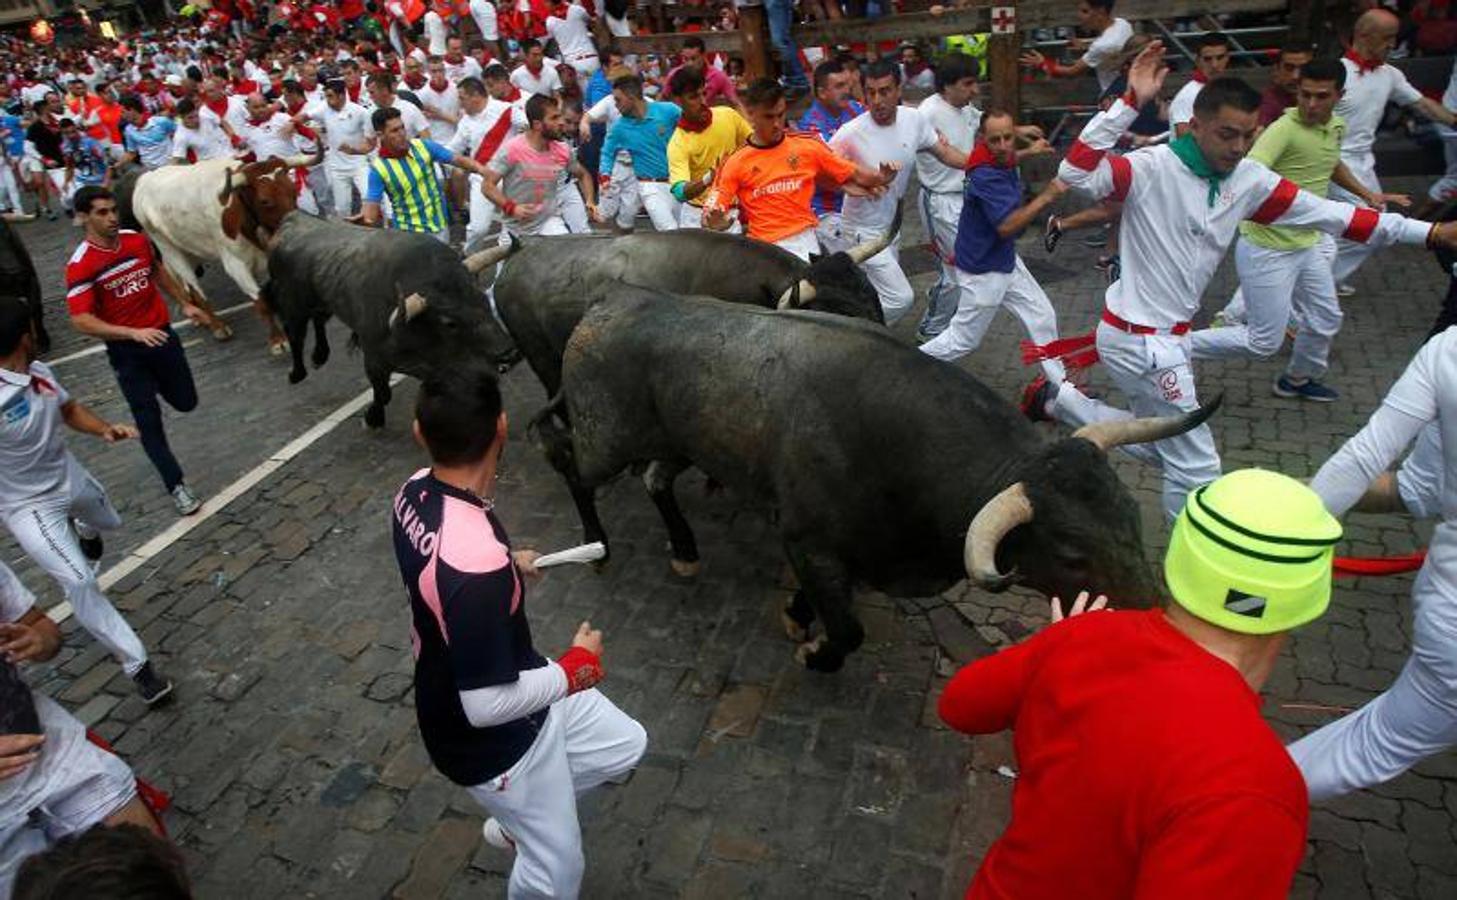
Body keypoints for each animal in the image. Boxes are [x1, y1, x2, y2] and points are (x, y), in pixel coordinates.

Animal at [539, 286, 1218, 666]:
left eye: (1130, 520)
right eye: (1073, 555)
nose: (1156, 619)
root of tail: (609, 302)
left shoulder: (842, 551)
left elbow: (819, 601)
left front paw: (798, 618)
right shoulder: (809, 539)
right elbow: (849, 630)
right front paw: (815, 651)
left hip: (679, 441)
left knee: (655, 479)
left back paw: (683, 550)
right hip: (605, 437)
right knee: (571, 463)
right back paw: (595, 545)